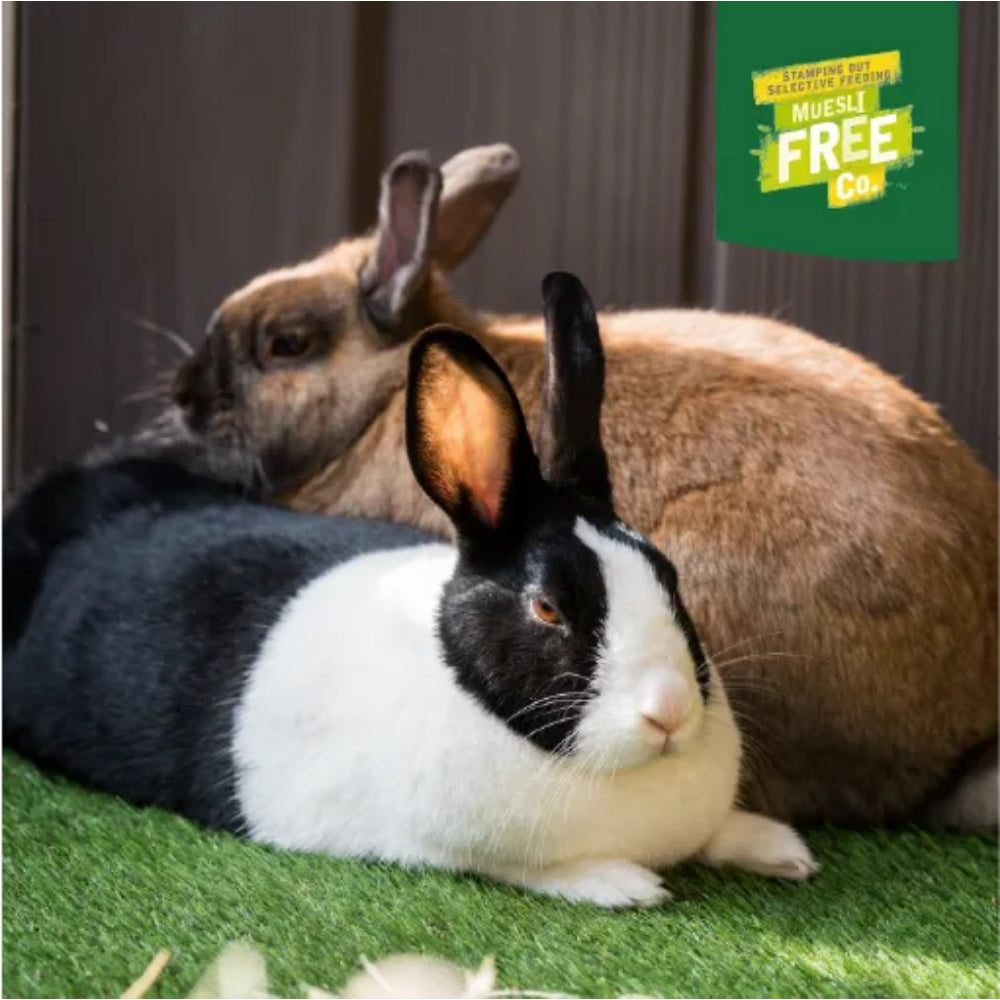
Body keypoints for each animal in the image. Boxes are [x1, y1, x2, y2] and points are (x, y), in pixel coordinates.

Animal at [3, 274, 819, 907]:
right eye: (547, 606)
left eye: (669, 576)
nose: (669, 712)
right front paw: (624, 885)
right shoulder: (453, 845)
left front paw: (780, 849)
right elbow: (529, 868)